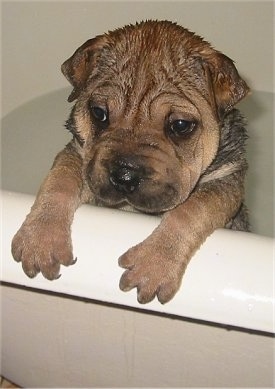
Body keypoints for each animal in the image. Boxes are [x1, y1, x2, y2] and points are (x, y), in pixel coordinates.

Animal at [11, 20, 251, 304]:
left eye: (181, 126)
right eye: (99, 113)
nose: (124, 177)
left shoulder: (224, 179)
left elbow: (191, 210)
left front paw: (154, 265)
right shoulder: (78, 154)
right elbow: (60, 179)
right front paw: (41, 239)